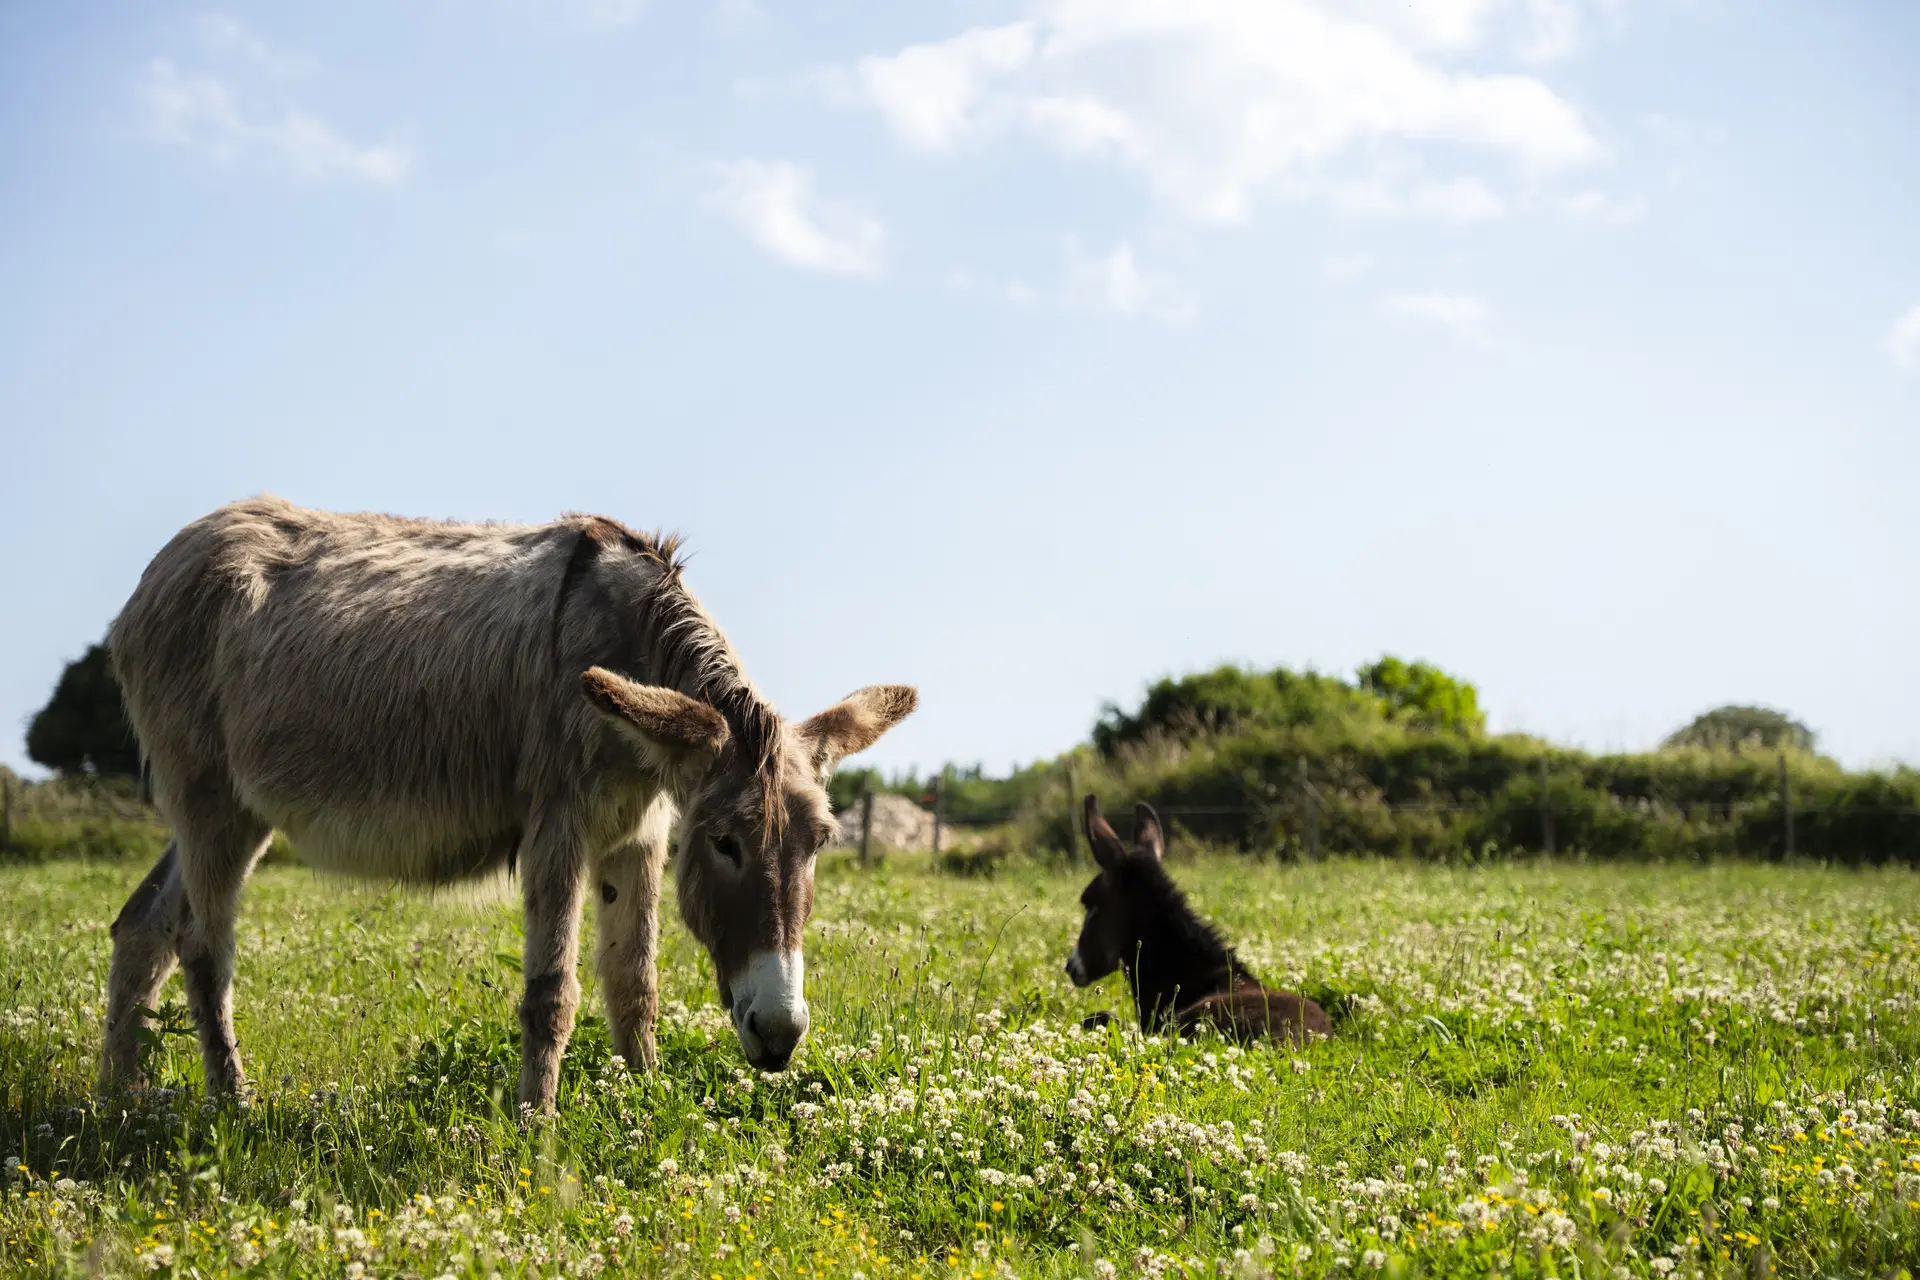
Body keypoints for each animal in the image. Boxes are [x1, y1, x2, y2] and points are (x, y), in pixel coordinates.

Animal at [99, 497, 916, 1111]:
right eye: (724, 842)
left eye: (820, 844)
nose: (780, 1035)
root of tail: (161, 568)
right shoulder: (559, 827)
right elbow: (553, 991)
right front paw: (536, 1129)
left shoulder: (639, 833)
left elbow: (635, 983)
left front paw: (645, 1106)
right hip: (211, 803)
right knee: (204, 950)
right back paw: (230, 1106)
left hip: (236, 814)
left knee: (143, 925)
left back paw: (119, 1099)